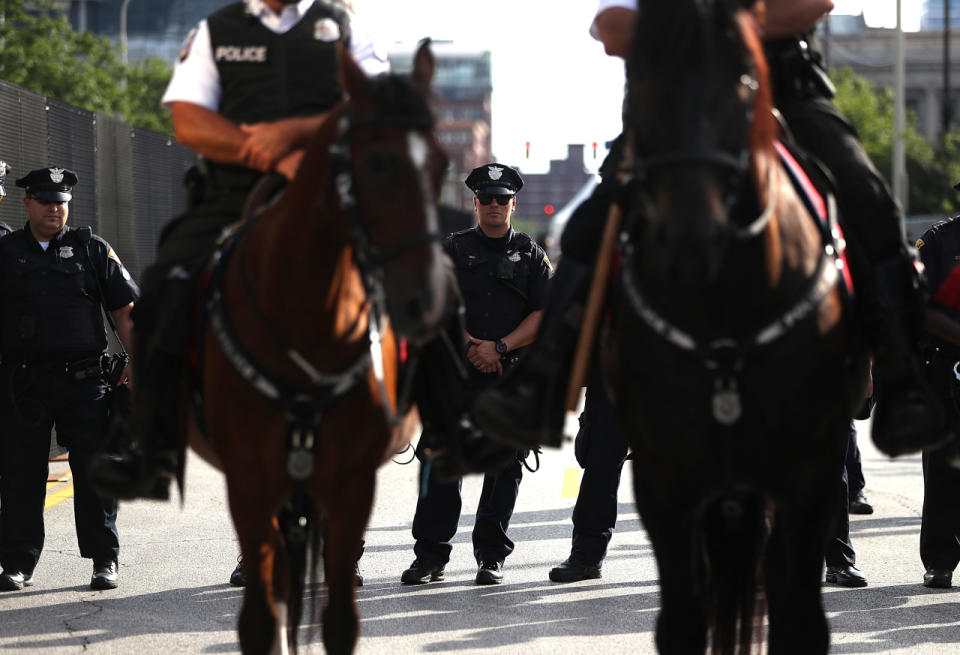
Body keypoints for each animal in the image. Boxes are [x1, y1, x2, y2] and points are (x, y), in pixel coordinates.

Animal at [186, 42, 448, 655]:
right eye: (377, 164)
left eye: (443, 164)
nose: (426, 299)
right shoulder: (250, 482)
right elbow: (262, 614)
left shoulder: (351, 482)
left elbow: (339, 618)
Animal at [608, 2, 872, 652]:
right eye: (637, 78)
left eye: (746, 82)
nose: (691, 239)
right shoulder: (663, 480)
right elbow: (682, 619)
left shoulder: (810, 474)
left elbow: (798, 616)